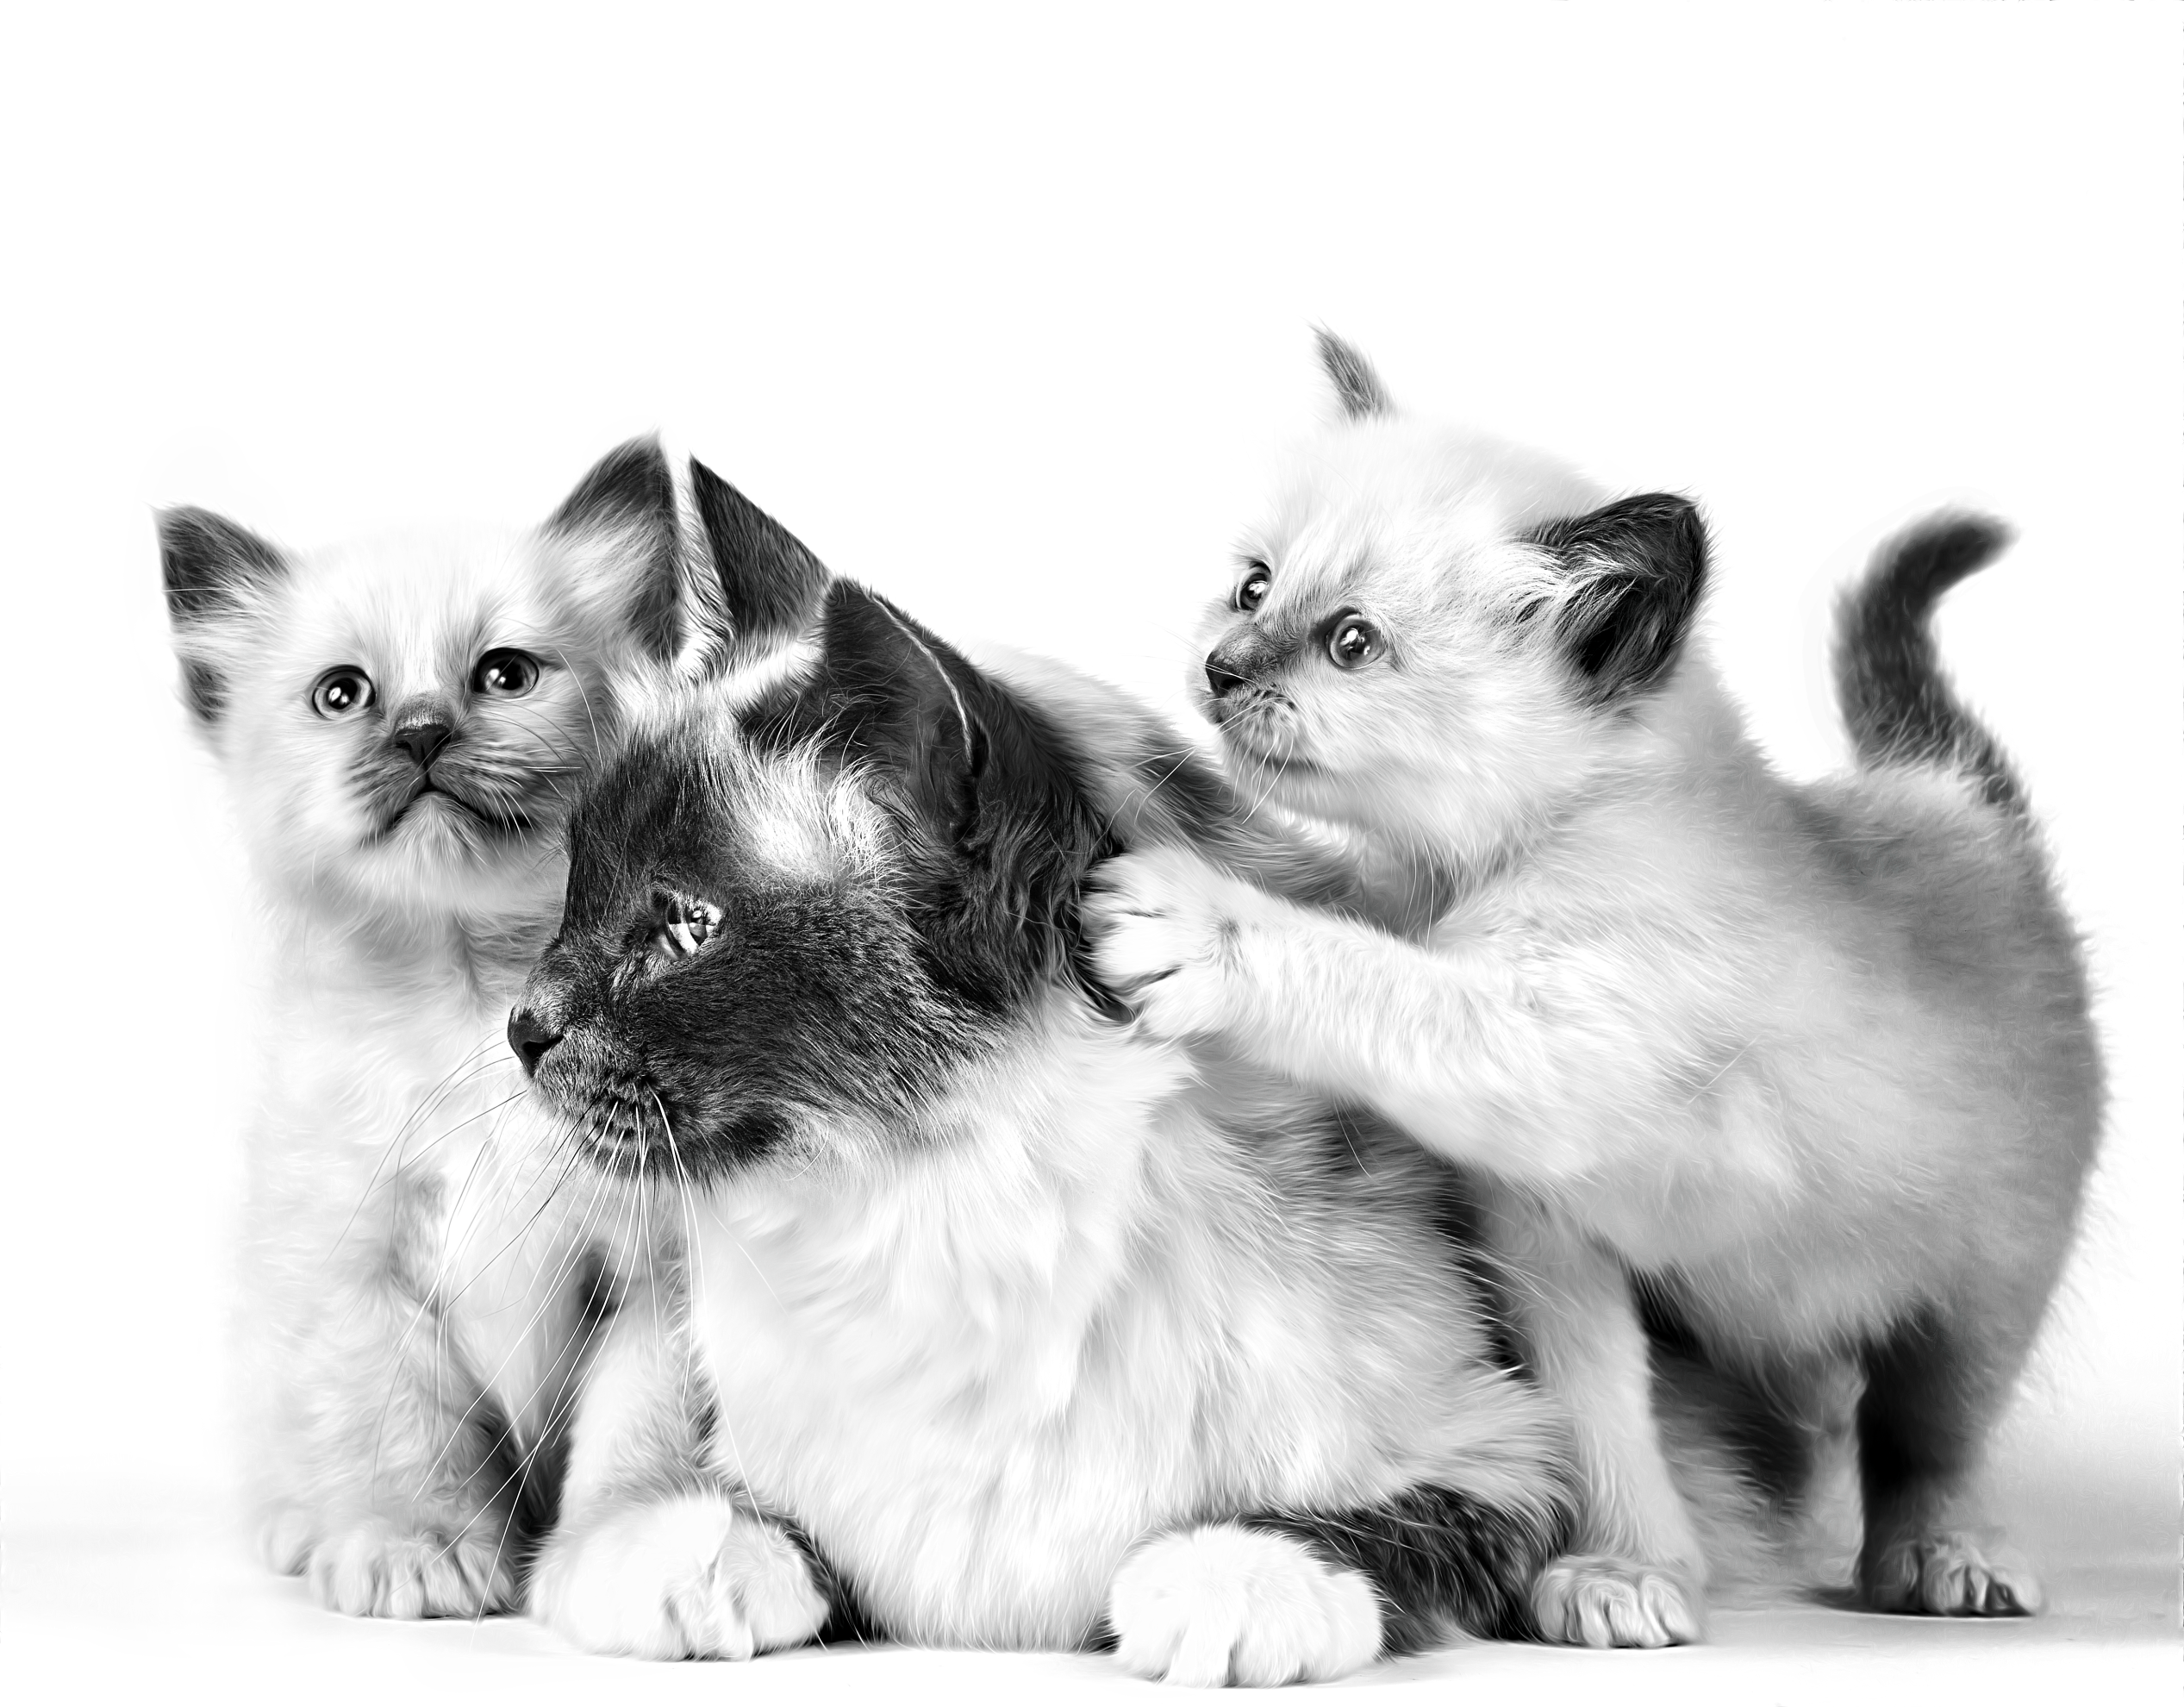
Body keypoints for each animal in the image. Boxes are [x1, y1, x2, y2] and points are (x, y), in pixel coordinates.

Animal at [162, 439, 685, 1608]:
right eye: (342, 695)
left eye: (504, 675)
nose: (421, 733)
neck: (471, 999)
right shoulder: (355, 1269)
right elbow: (397, 1431)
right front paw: (419, 1548)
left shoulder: (655, 1271)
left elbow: (642, 1439)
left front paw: (636, 1558)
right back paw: (302, 1532)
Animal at [504, 463, 1598, 1679]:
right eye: (577, 894)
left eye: (687, 927)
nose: (522, 1027)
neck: (932, 1207)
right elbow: (697, 1526)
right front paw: (711, 1569)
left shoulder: (1506, 1464)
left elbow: (1351, 1532)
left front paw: (1224, 1584)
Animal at [1083, 336, 2105, 1635]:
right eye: (1254, 589)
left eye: (1353, 642)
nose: (1219, 668)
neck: (1477, 874)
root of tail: (1955, 804)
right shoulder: (1548, 1238)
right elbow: (1601, 1418)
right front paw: (1631, 1570)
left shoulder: (1544, 1049)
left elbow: (1372, 980)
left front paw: (1196, 923)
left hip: (1986, 1278)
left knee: (1928, 1433)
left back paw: (1948, 1558)